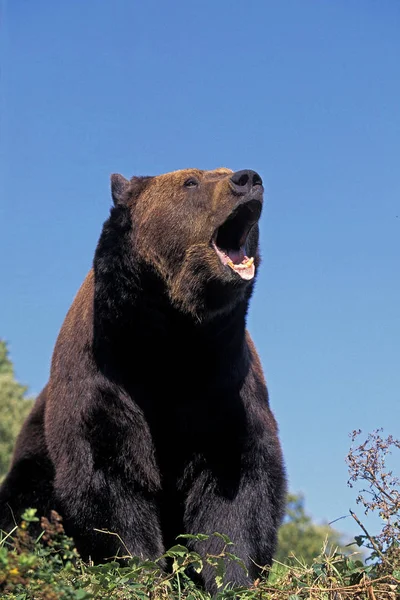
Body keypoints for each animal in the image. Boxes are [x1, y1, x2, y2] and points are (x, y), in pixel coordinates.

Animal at [0, 166, 288, 592]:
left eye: (222, 172)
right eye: (191, 182)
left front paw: (231, 577)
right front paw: (143, 571)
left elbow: (236, 486)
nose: (247, 179)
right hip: (33, 461)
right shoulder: (105, 383)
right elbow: (110, 480)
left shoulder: (223, 384)